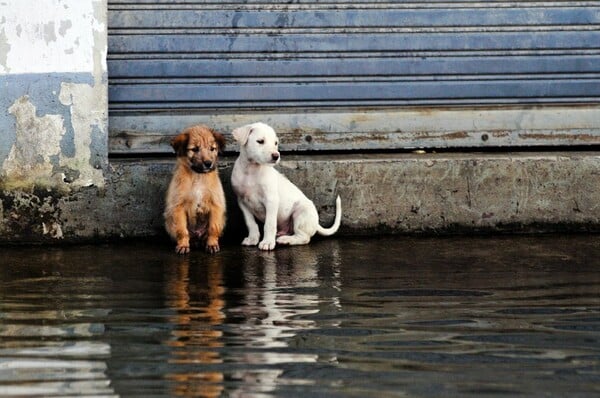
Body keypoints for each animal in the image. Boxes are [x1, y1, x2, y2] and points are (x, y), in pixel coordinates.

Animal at [163, 125, 226, 255]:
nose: (208, 163)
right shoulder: (178, 206)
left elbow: (213, 228)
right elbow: (182, 230)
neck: (198, 176)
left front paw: (212, 244)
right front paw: (183, 245)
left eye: (212, 149)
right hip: (169, 220)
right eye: (195, 149)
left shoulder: (216, 205)